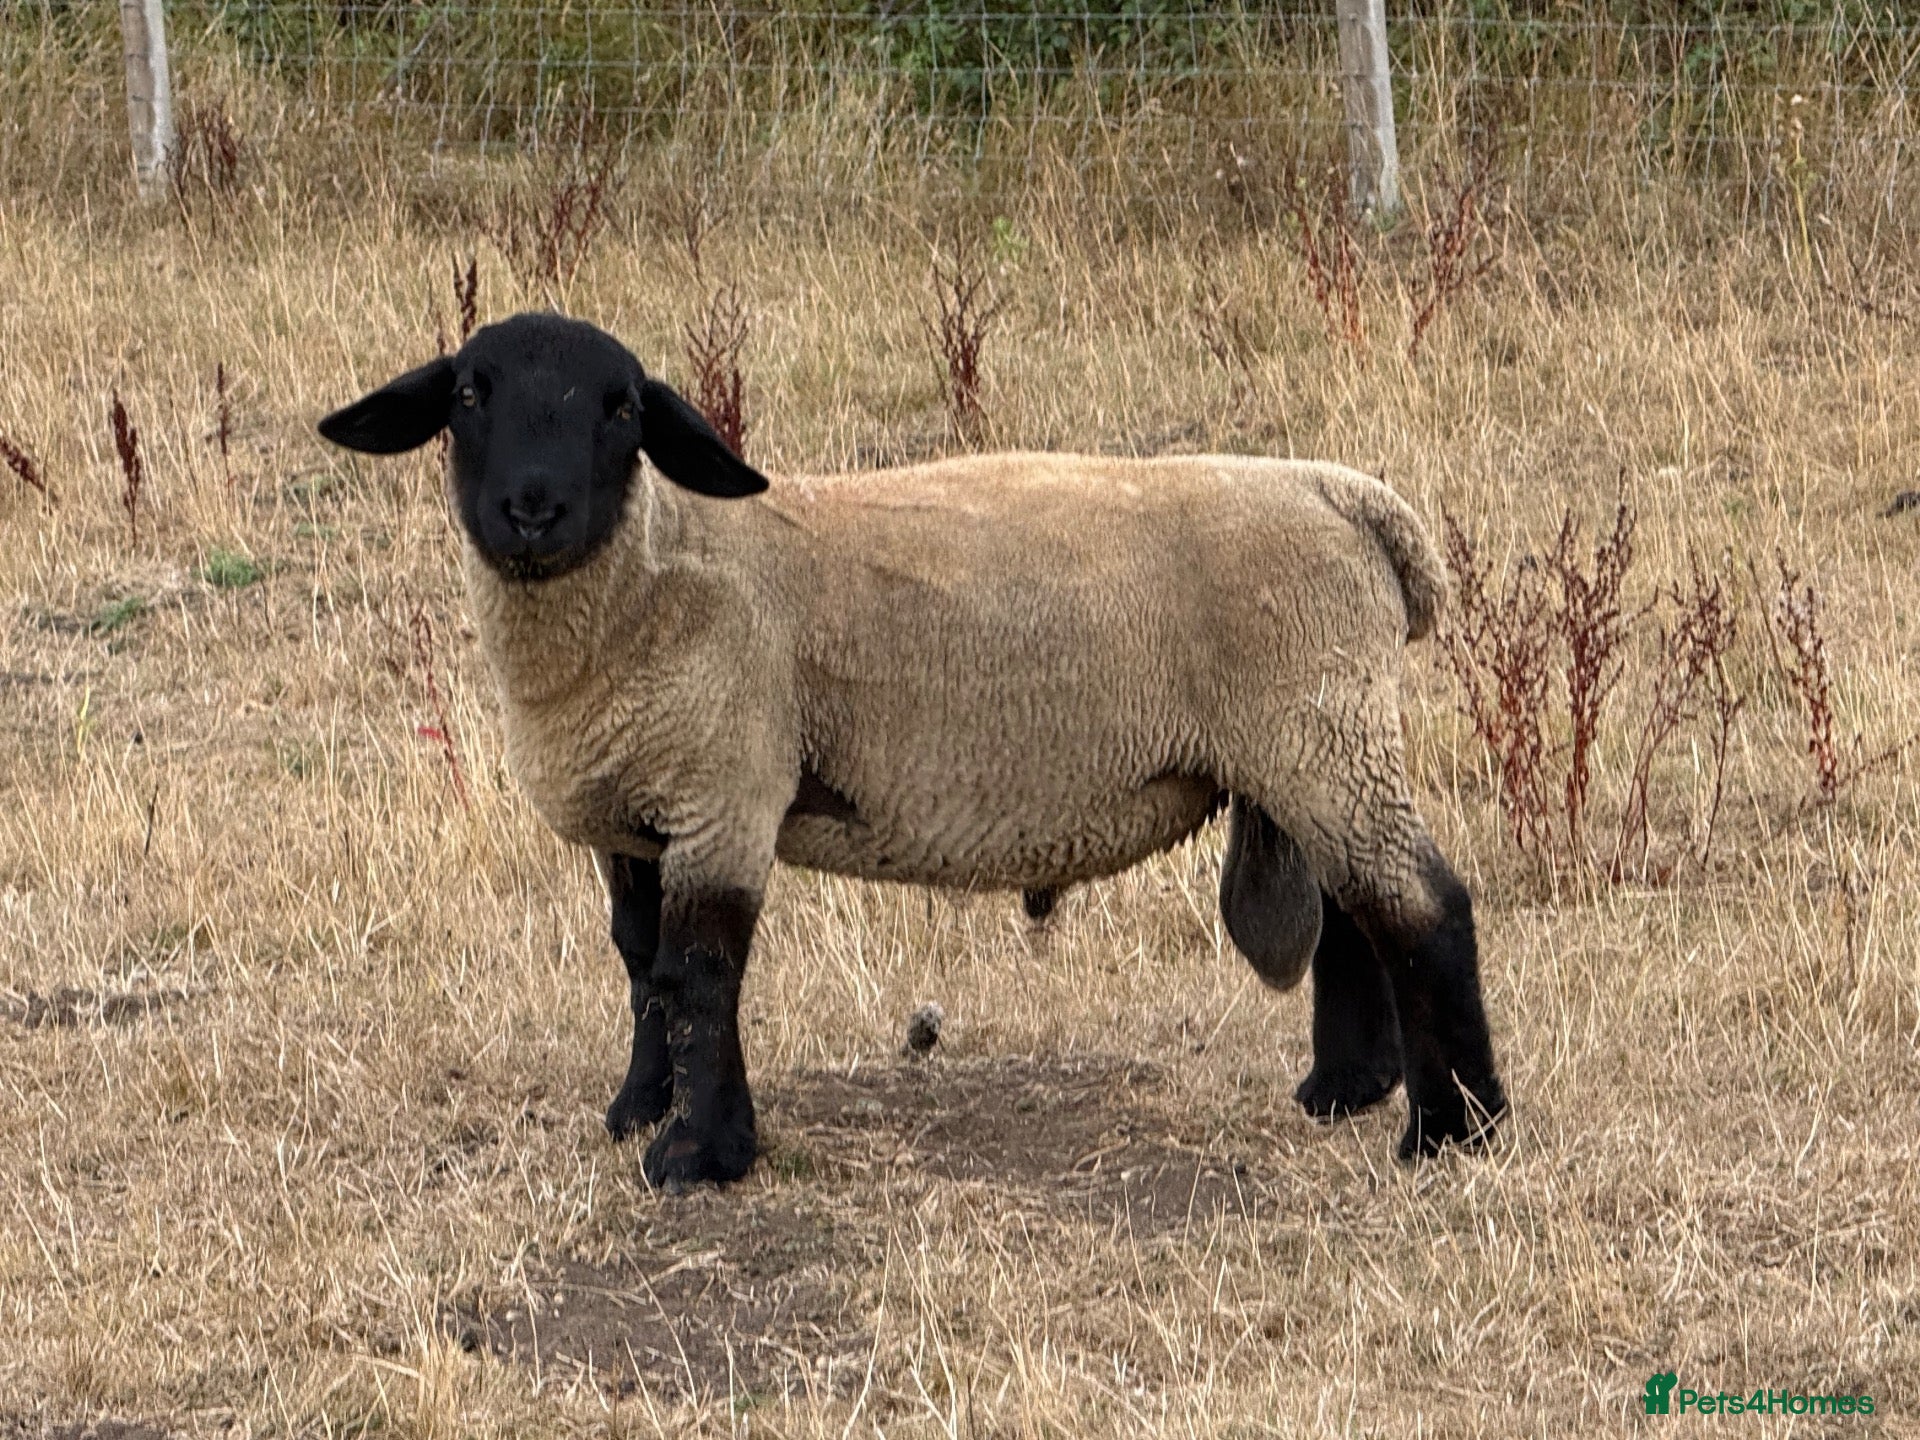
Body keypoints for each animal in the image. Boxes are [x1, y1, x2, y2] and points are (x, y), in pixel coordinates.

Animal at [318, 311, 1506, 1189]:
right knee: (1358, 911)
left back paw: (1456, 1132)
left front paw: (702, 1155)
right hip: (1311, 743)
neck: (659, 574)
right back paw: (1346, 1091)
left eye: (621, 409)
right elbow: (641, 966)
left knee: (1423, 907)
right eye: (469, 395)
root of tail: (1347, 497)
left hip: (1320, 726)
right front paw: (639, 1110)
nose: (533, 510)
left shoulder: (724, 789)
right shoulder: (642, 810)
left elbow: (701, 973)